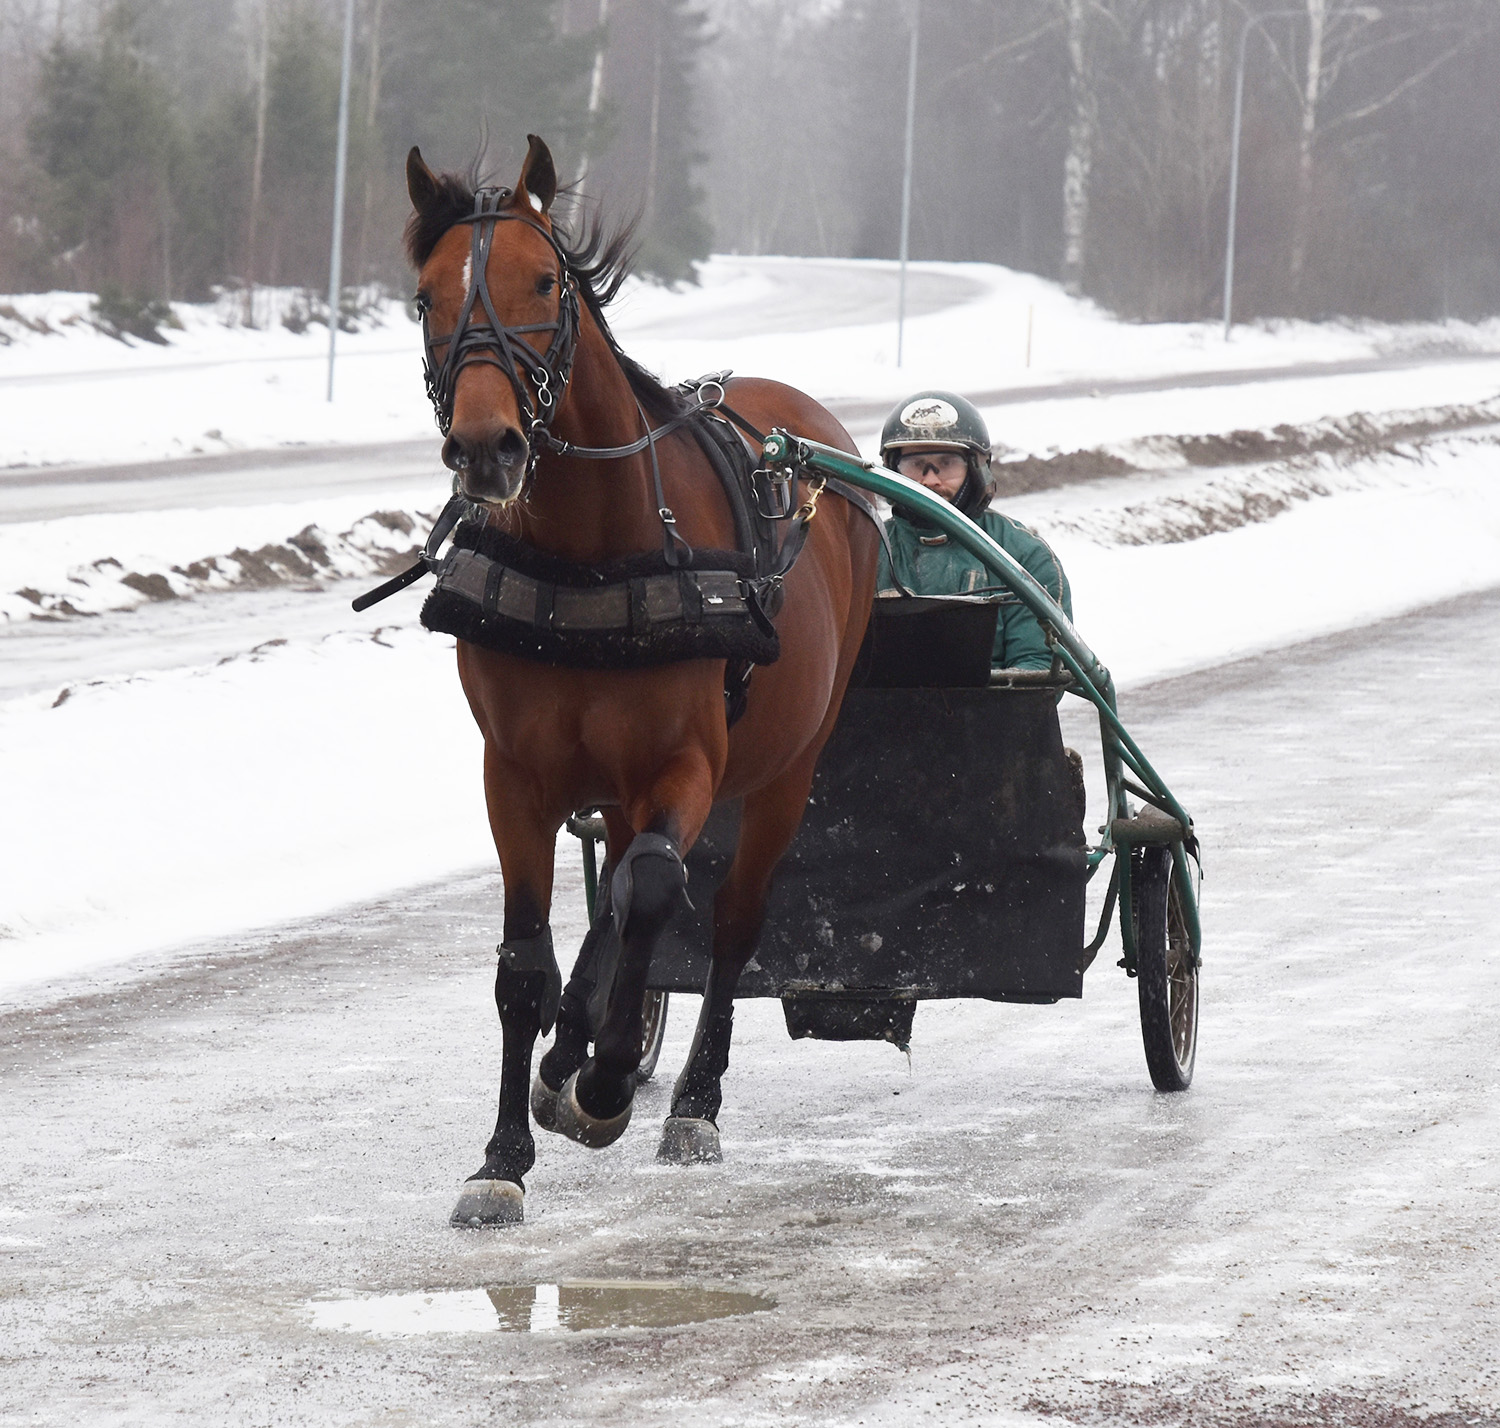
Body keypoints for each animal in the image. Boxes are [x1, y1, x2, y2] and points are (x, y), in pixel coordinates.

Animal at [405, 136, 876, 1230]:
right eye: (423, 295)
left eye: (544, 282)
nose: (486, 448)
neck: (592, 556)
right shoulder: (515, 776)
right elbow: (526, 963)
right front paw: (504, 1152)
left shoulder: (684, 761)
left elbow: (661, 891)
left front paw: (612, 1080)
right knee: (617, 896)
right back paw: (566, 1059)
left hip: (788, 768)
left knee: (722, 923)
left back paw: (686, 1099)